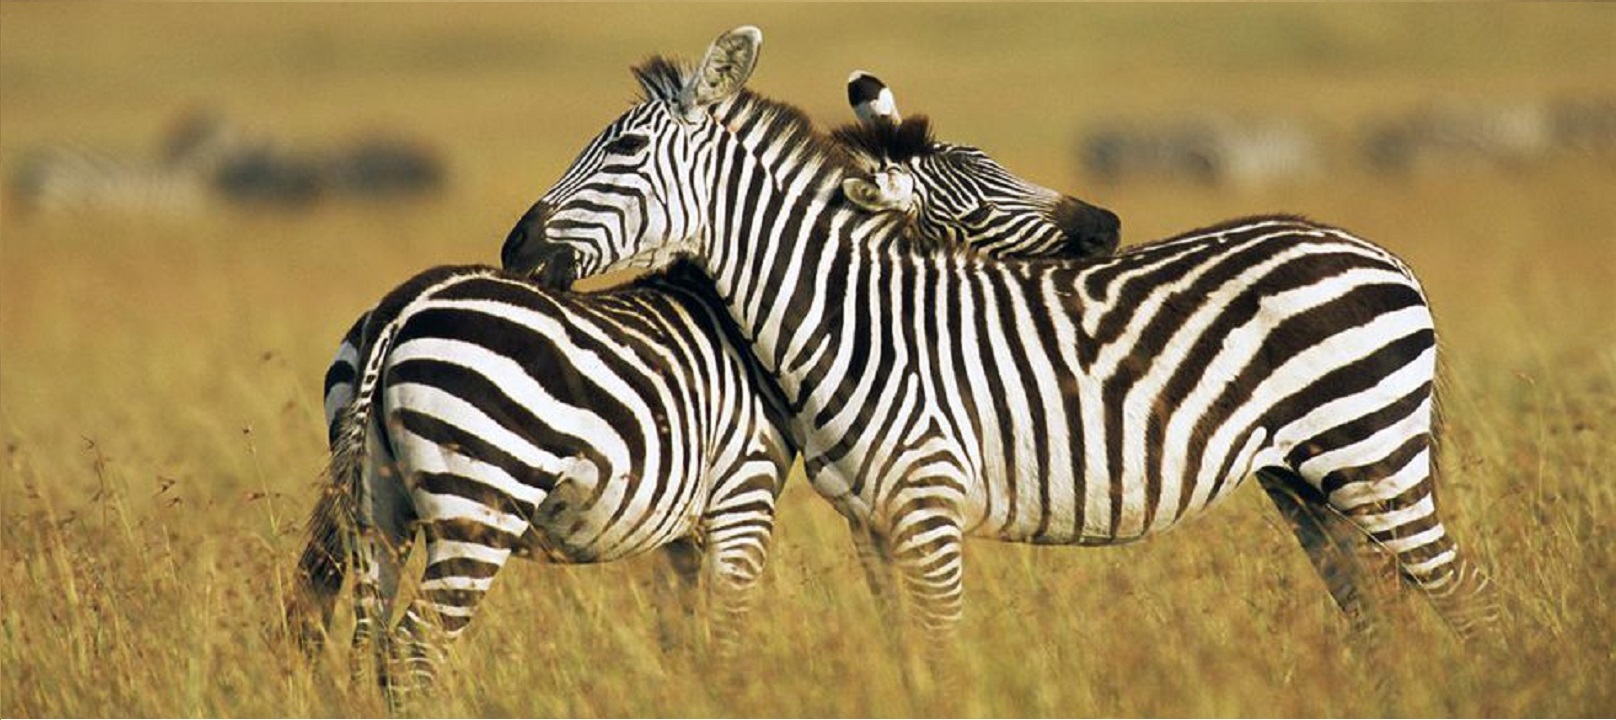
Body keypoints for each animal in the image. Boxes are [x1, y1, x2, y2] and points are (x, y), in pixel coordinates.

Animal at [287, 69, 1124, 703]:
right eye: (979, 198)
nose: (1108, 228)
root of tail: (403, 308)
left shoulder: (682, 527)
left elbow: (680, 642)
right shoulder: (743, 493)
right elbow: (726, 637)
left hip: (377, 508)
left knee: (362, 639)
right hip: (479, 502)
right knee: (414, 649)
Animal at [500, 26, 1499, 665]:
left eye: (622, 154)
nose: (513, 252)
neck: (849, 319)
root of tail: (1381, 252)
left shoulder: (930, 507)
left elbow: (943, 651)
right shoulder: (870, 525)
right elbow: (909, 654)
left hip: (1372, 451)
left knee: (1464, 593)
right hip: (1307, 479)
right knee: (1377, 608)